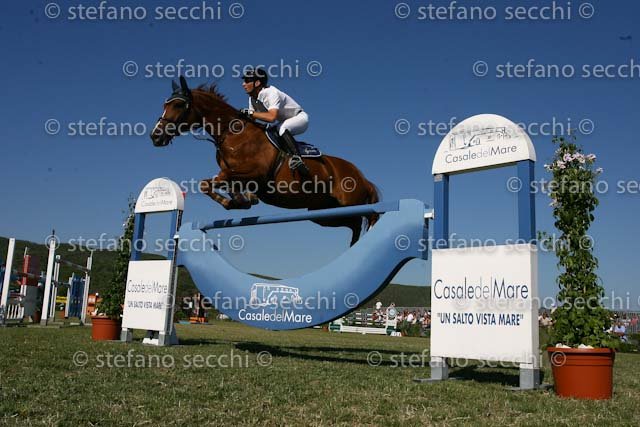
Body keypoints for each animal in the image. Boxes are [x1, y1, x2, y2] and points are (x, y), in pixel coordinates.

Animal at [150, 76, 379, 246]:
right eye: (164, 104)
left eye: (178, 105)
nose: (155, 136)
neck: (232, 134)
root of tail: (362, 177)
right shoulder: (237, 176)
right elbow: (213, 183)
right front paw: (239, 201)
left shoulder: (256, 174)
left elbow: (218, 179)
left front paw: (239, 200)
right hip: (322, 214)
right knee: (354, 223)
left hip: (348, 204)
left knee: (365, 219)